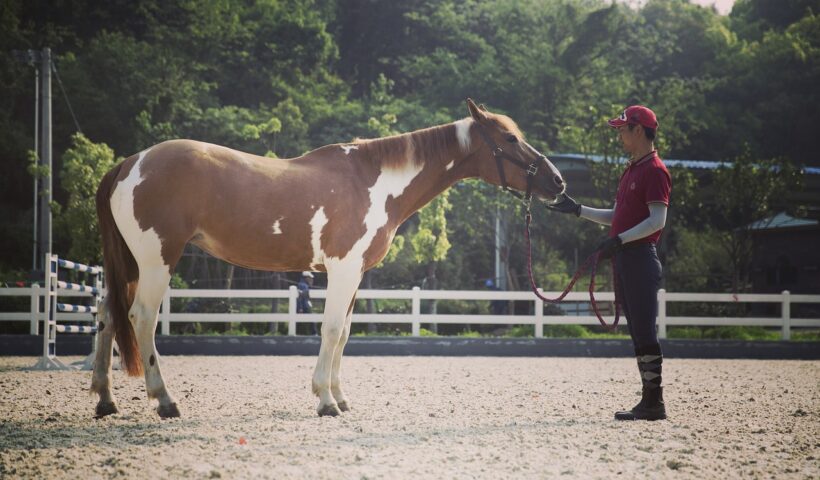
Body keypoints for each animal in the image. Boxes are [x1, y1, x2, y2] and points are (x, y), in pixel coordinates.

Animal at [89, 98, 564, 416]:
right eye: (510, 138)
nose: (558, 182)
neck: (374, 182)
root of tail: (130, 163)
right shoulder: (342, 269)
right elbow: (332, 329)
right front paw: (325, 401)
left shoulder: (354, 275)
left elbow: (345, 333)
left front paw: (339, 396)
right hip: (157, 263)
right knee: (141, 317)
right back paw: (165, 400)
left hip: (129, 265)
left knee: (106, 314)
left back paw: (105, 400)